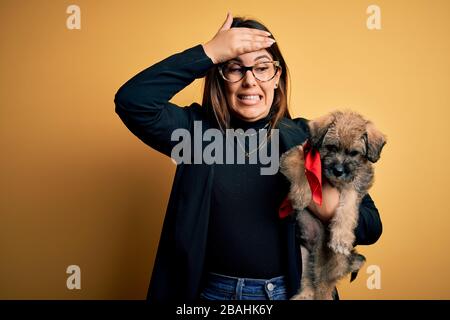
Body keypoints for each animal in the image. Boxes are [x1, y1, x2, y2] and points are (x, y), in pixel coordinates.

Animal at [280, 110, 384, 300]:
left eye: (354, 153)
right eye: (331, 147)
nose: (338, 171)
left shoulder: (355, 185)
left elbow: (348, 206)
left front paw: (341, 237)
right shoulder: (294, 155)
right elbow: (302, 168)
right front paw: (301, 194)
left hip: (326, 272)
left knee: (323, 291)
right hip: (304, 257)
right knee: (308, 282)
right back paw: (302, 295)